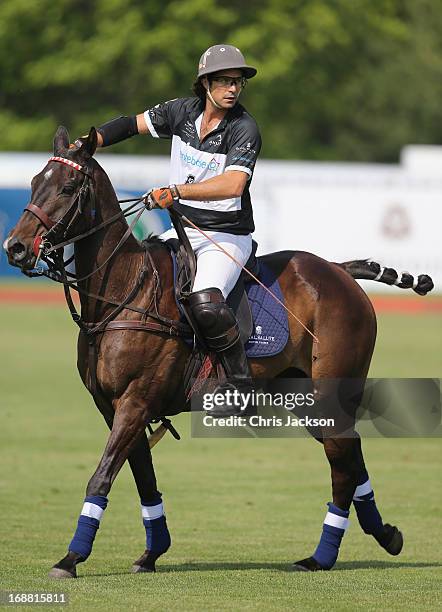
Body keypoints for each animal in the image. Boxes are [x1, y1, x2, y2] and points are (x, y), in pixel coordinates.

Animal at [3, 126, 432, 576]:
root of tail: (339, 270)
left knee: (342, 464)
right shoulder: (111, 406)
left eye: (68, 187)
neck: (123, 293)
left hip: (330, 390)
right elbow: (143, 478)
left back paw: (323, 556)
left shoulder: (136, 401)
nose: (15, 247)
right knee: (350, 454)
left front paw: (70, 558)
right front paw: (152, 552)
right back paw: (384, 535)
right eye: (33, 183)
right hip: (303, 394)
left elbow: (102, 476)